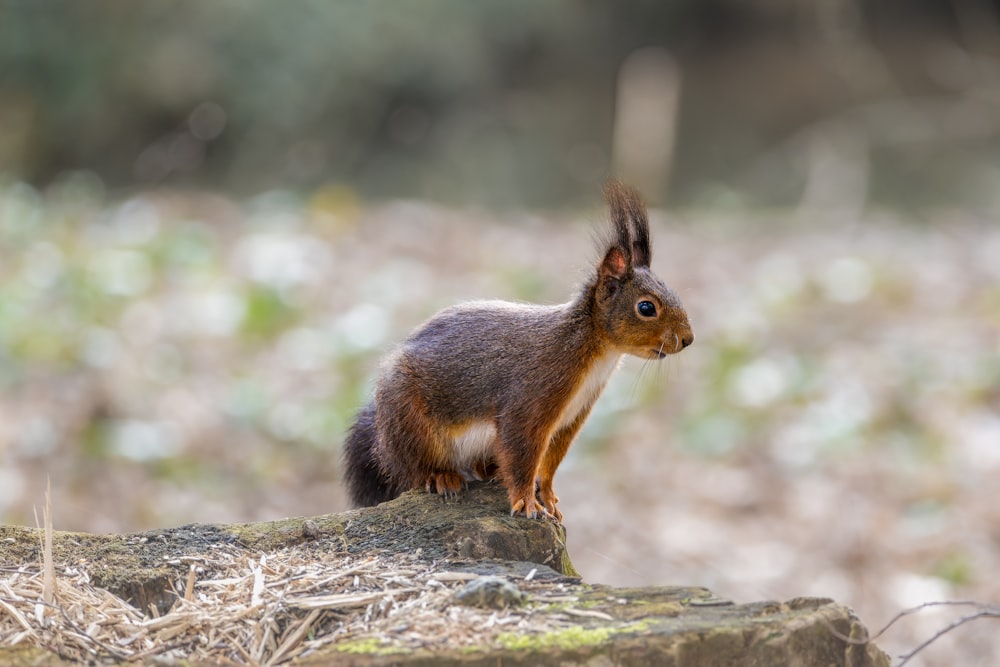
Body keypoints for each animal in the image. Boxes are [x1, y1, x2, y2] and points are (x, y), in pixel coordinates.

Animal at [340, 181, 692, 520]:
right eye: (646, 307)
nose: (687, 339)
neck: (592, 350)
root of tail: (382, 434)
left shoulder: (571, 418)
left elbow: (549, 464)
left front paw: (548, 498)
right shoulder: (530, 398)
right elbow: (521, 452)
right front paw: (526, 503)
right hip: (409, 422)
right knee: (411, 469)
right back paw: (441, 476)